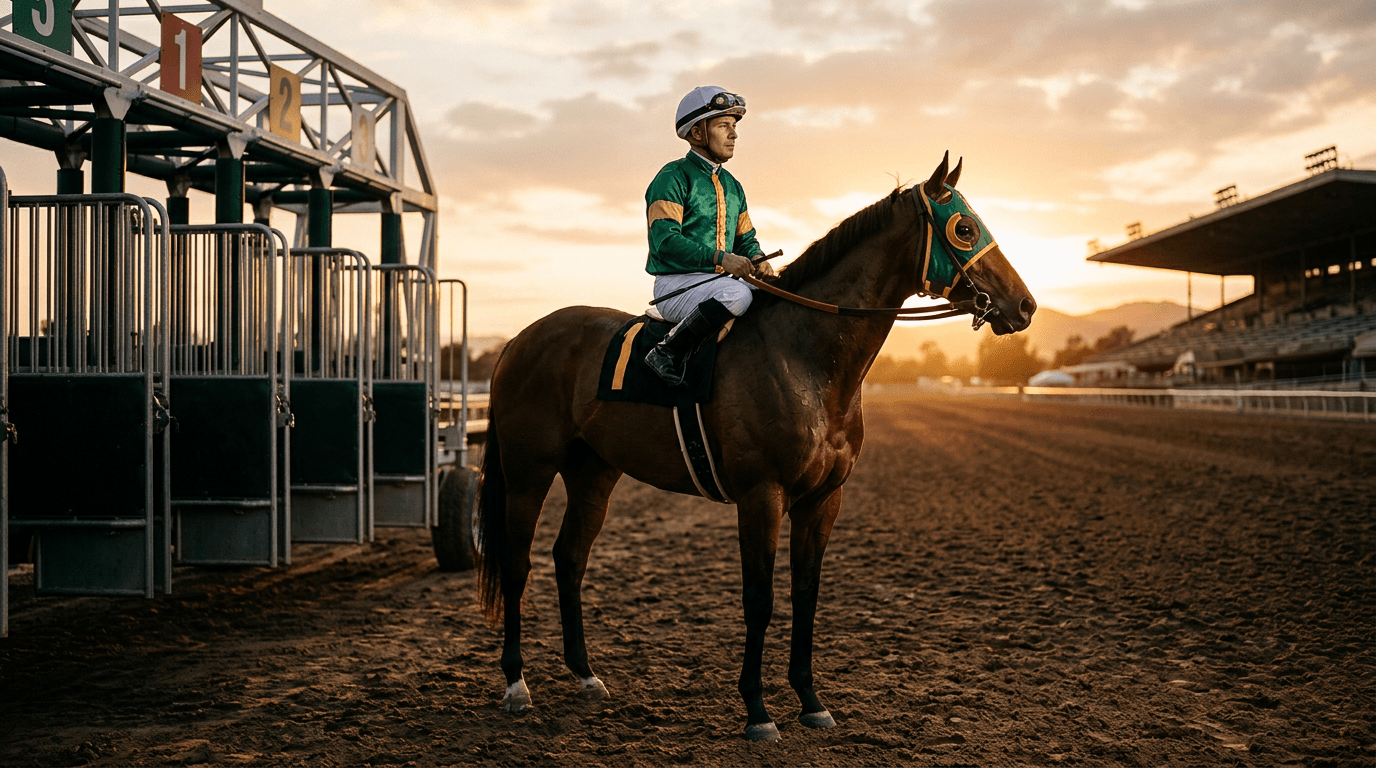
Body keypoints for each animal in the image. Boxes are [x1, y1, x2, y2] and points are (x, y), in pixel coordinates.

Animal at [474, 152, 1036, 741]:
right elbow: (759, 600)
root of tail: (519, 339)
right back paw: (516, 684)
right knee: (516, 562)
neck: (805, 357)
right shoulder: (762, 495)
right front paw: (758, 711)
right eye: (965, 228)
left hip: (594, 472)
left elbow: (805, 595)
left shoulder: (822, 500)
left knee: (569, 558)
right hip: (528, 470)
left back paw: (586, 676)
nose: (1024, 305)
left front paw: (811, 701)